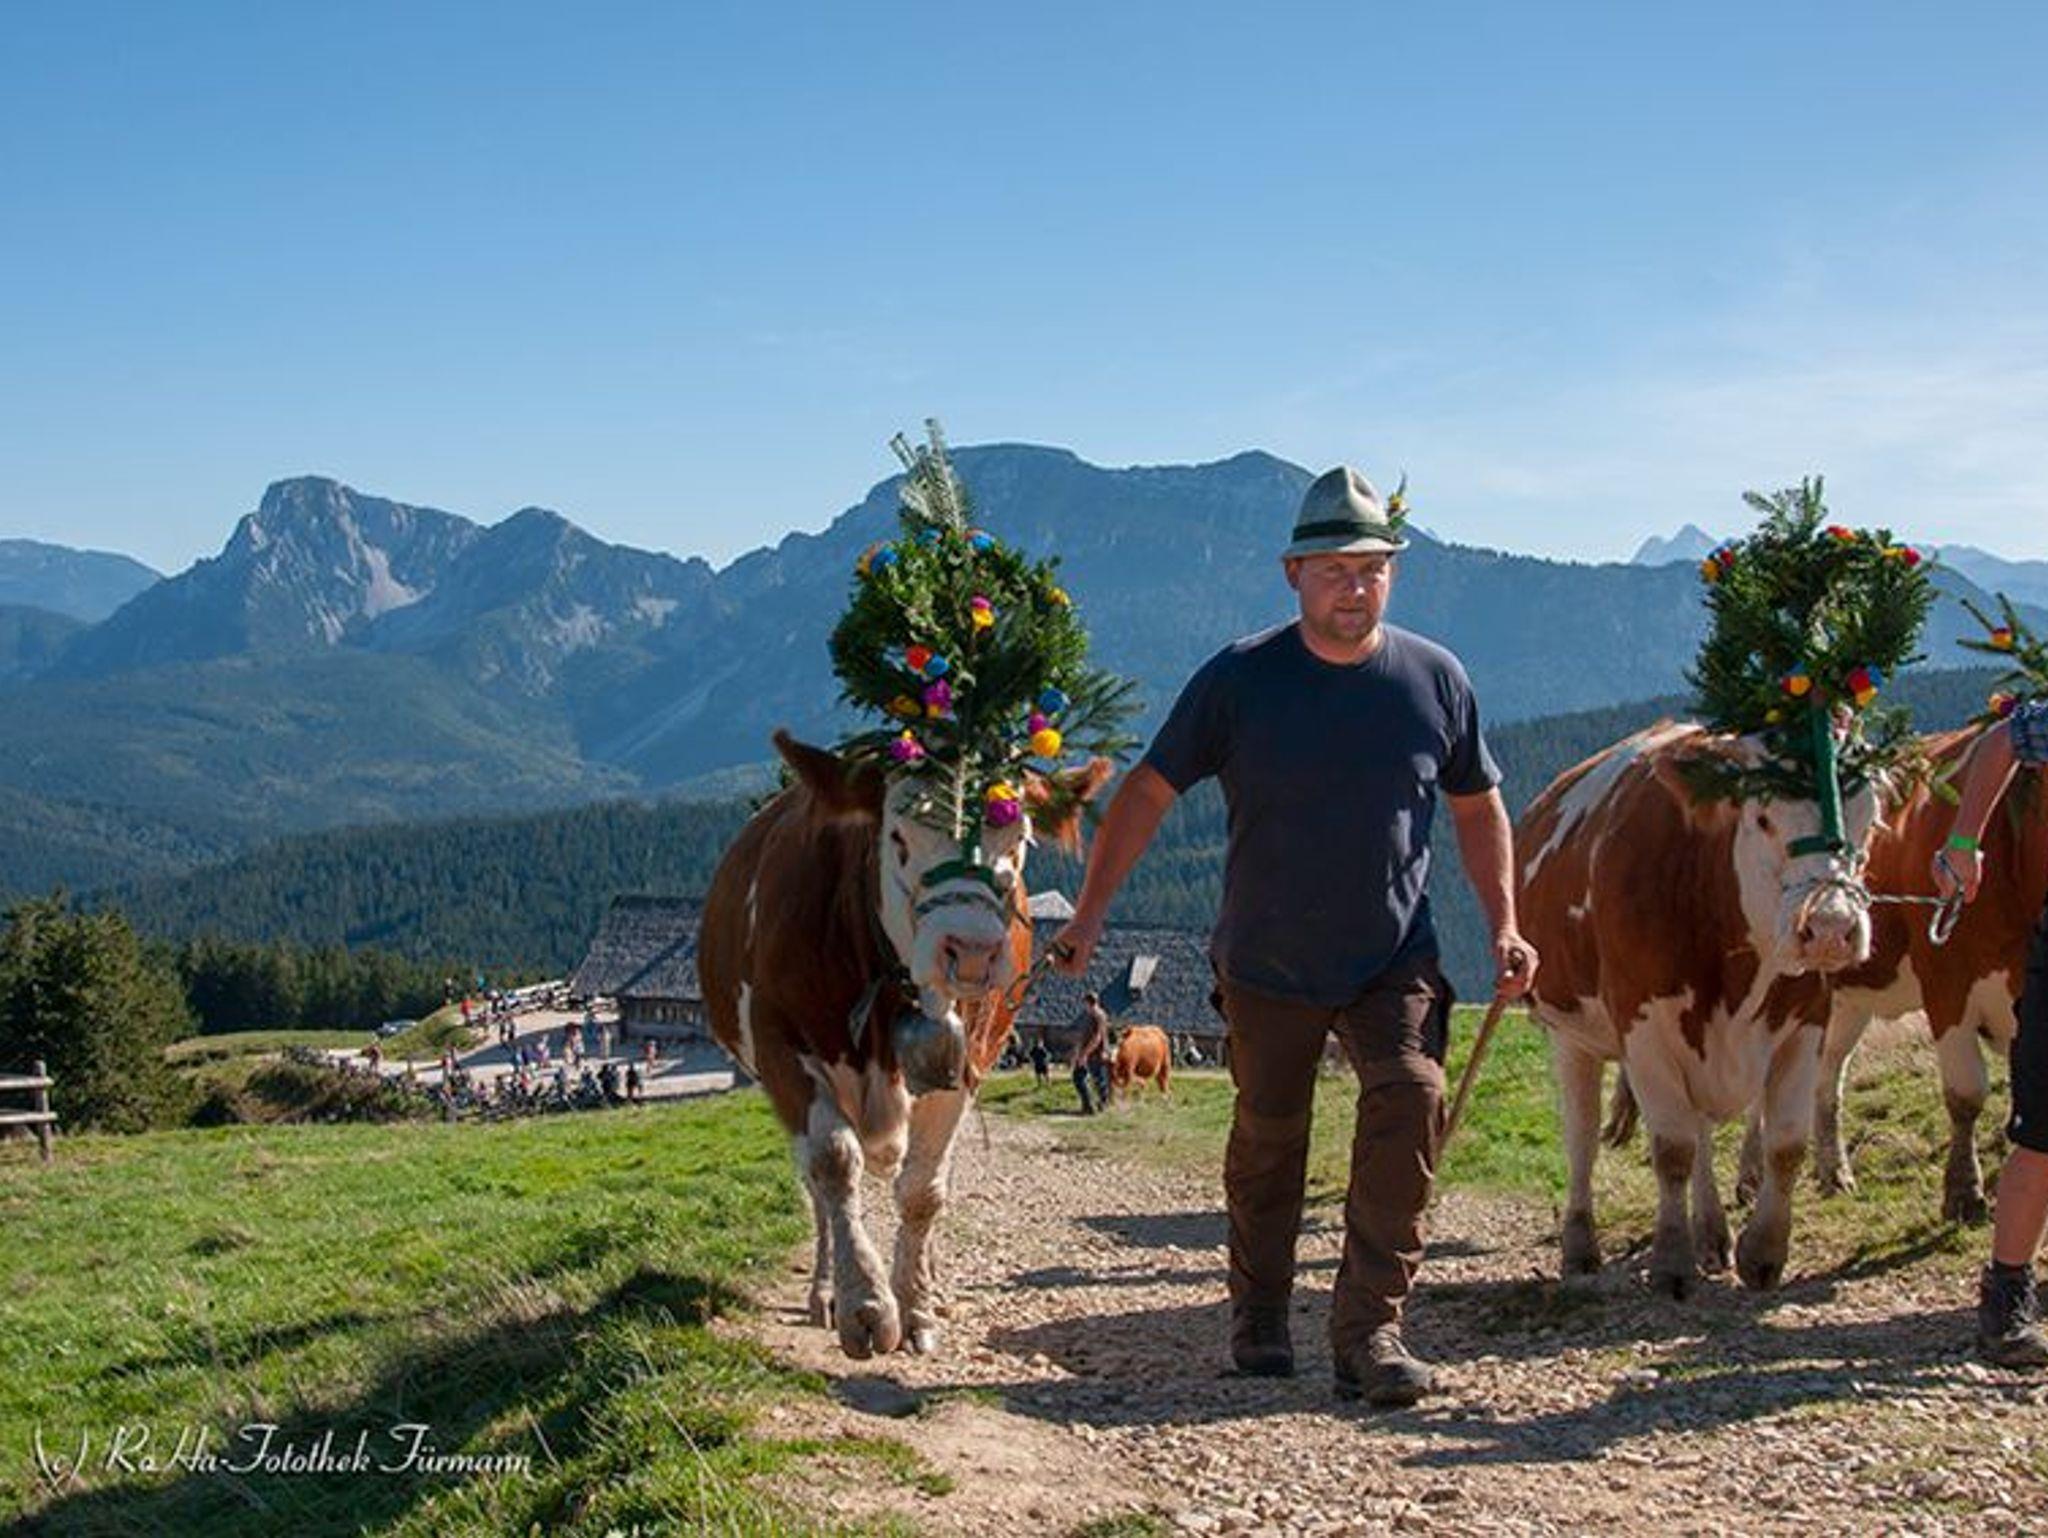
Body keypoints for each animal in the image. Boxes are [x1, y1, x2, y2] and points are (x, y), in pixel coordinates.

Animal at [699, 730, 1110, 1358]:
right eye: (897, 837)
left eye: (1019, 840)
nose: (971, 951)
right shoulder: (778, 1044)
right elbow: (832, 1162)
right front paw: (864, 1305)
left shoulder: (964, 1062)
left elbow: (923, 1189)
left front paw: (915, 1303)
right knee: (817, 1189)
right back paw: (825, 1290)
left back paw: (931, 1282)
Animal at [1516, 720, 1888, 1297]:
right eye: (1762, 818)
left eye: (1868, 818)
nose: (1831, 927)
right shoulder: (1644, 1029)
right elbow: (1672, 1150)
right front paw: (1672, 1261)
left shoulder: (1805, 1023)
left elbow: (1784, 1145)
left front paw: (1762, 1252)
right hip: (1570, 1032)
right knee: (1582, 1138)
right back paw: (1580, 1246)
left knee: (1703, 1135)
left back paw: (1712, 1233)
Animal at [1806, 727, 2048, 1219]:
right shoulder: (1946, 984)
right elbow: (1966, 1093)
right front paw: (1963, 1191)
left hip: (1848, 1000)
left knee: (1827, 1077)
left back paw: (1833, 1172)